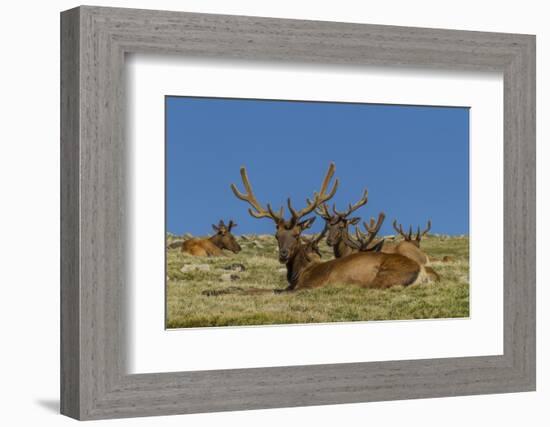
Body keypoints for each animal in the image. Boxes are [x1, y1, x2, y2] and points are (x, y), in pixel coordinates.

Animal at [231, 163, 424, 290]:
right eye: (277, 235)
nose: (283, 254)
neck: (298, 274)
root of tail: (422, 271)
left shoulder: (308, 285)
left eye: (296, 234)